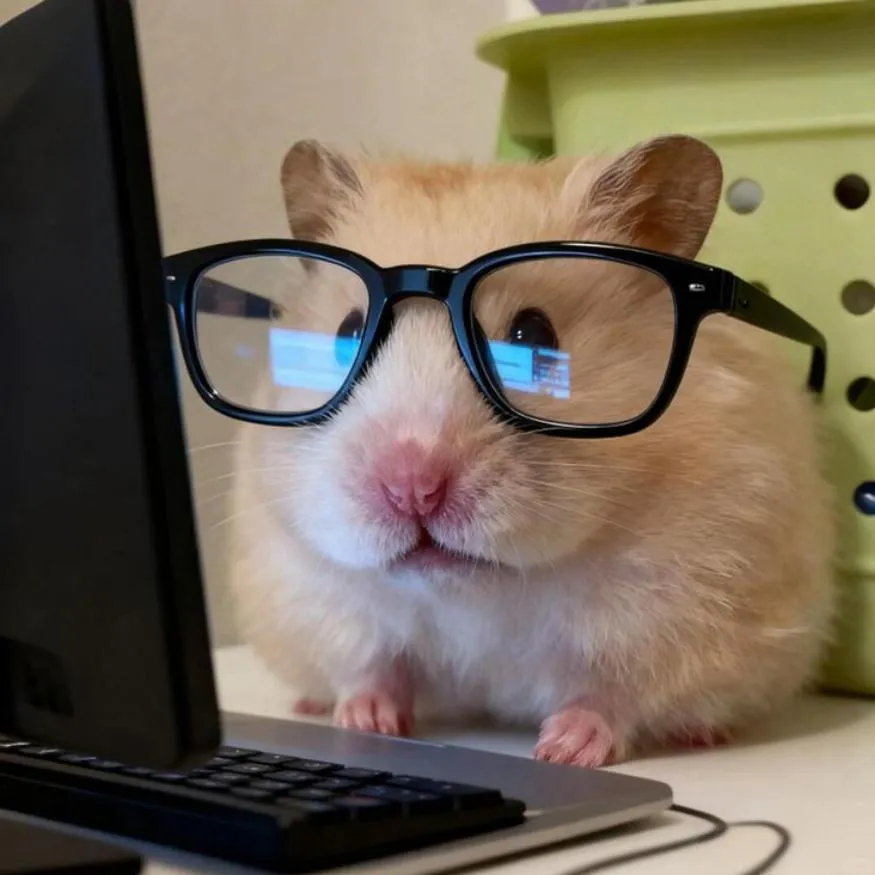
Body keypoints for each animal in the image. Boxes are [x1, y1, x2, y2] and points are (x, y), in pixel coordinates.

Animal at [229, 134, 836, 766]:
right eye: (349, 332)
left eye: (534, 336)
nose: (411, 488)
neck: (482, 588)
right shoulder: (325, 604)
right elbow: (373, 668)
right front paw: (365, 725)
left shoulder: (680, 619)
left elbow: (611, 695)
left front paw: (563, 751)